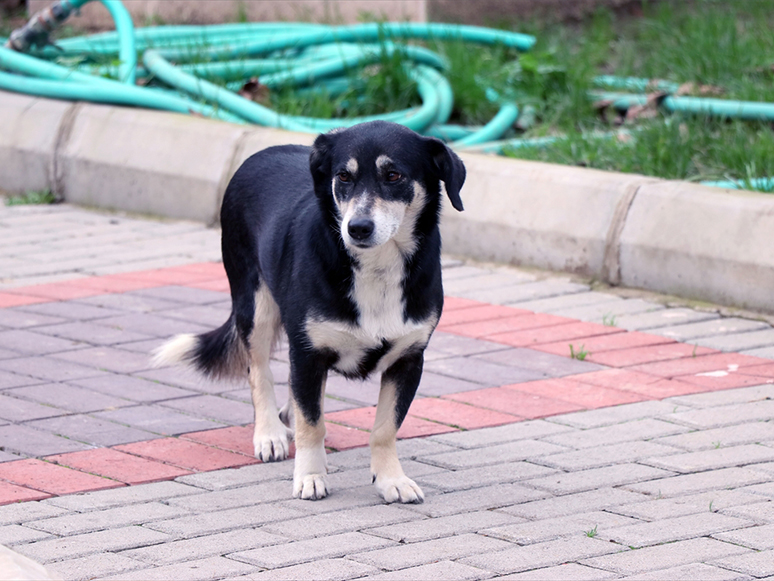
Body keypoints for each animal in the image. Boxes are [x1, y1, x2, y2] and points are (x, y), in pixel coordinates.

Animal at [155, 121, 464, 502]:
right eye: (343, 177)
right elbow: (312, 424)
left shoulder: (408, 360)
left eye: (393, 175)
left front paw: (391, 479)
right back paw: (269, 433)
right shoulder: (308, 353)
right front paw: (311, 476)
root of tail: (262, 153)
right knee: (260, 372)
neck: (376, 267)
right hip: (255, 306)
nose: (357, 228)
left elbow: (384, 428)